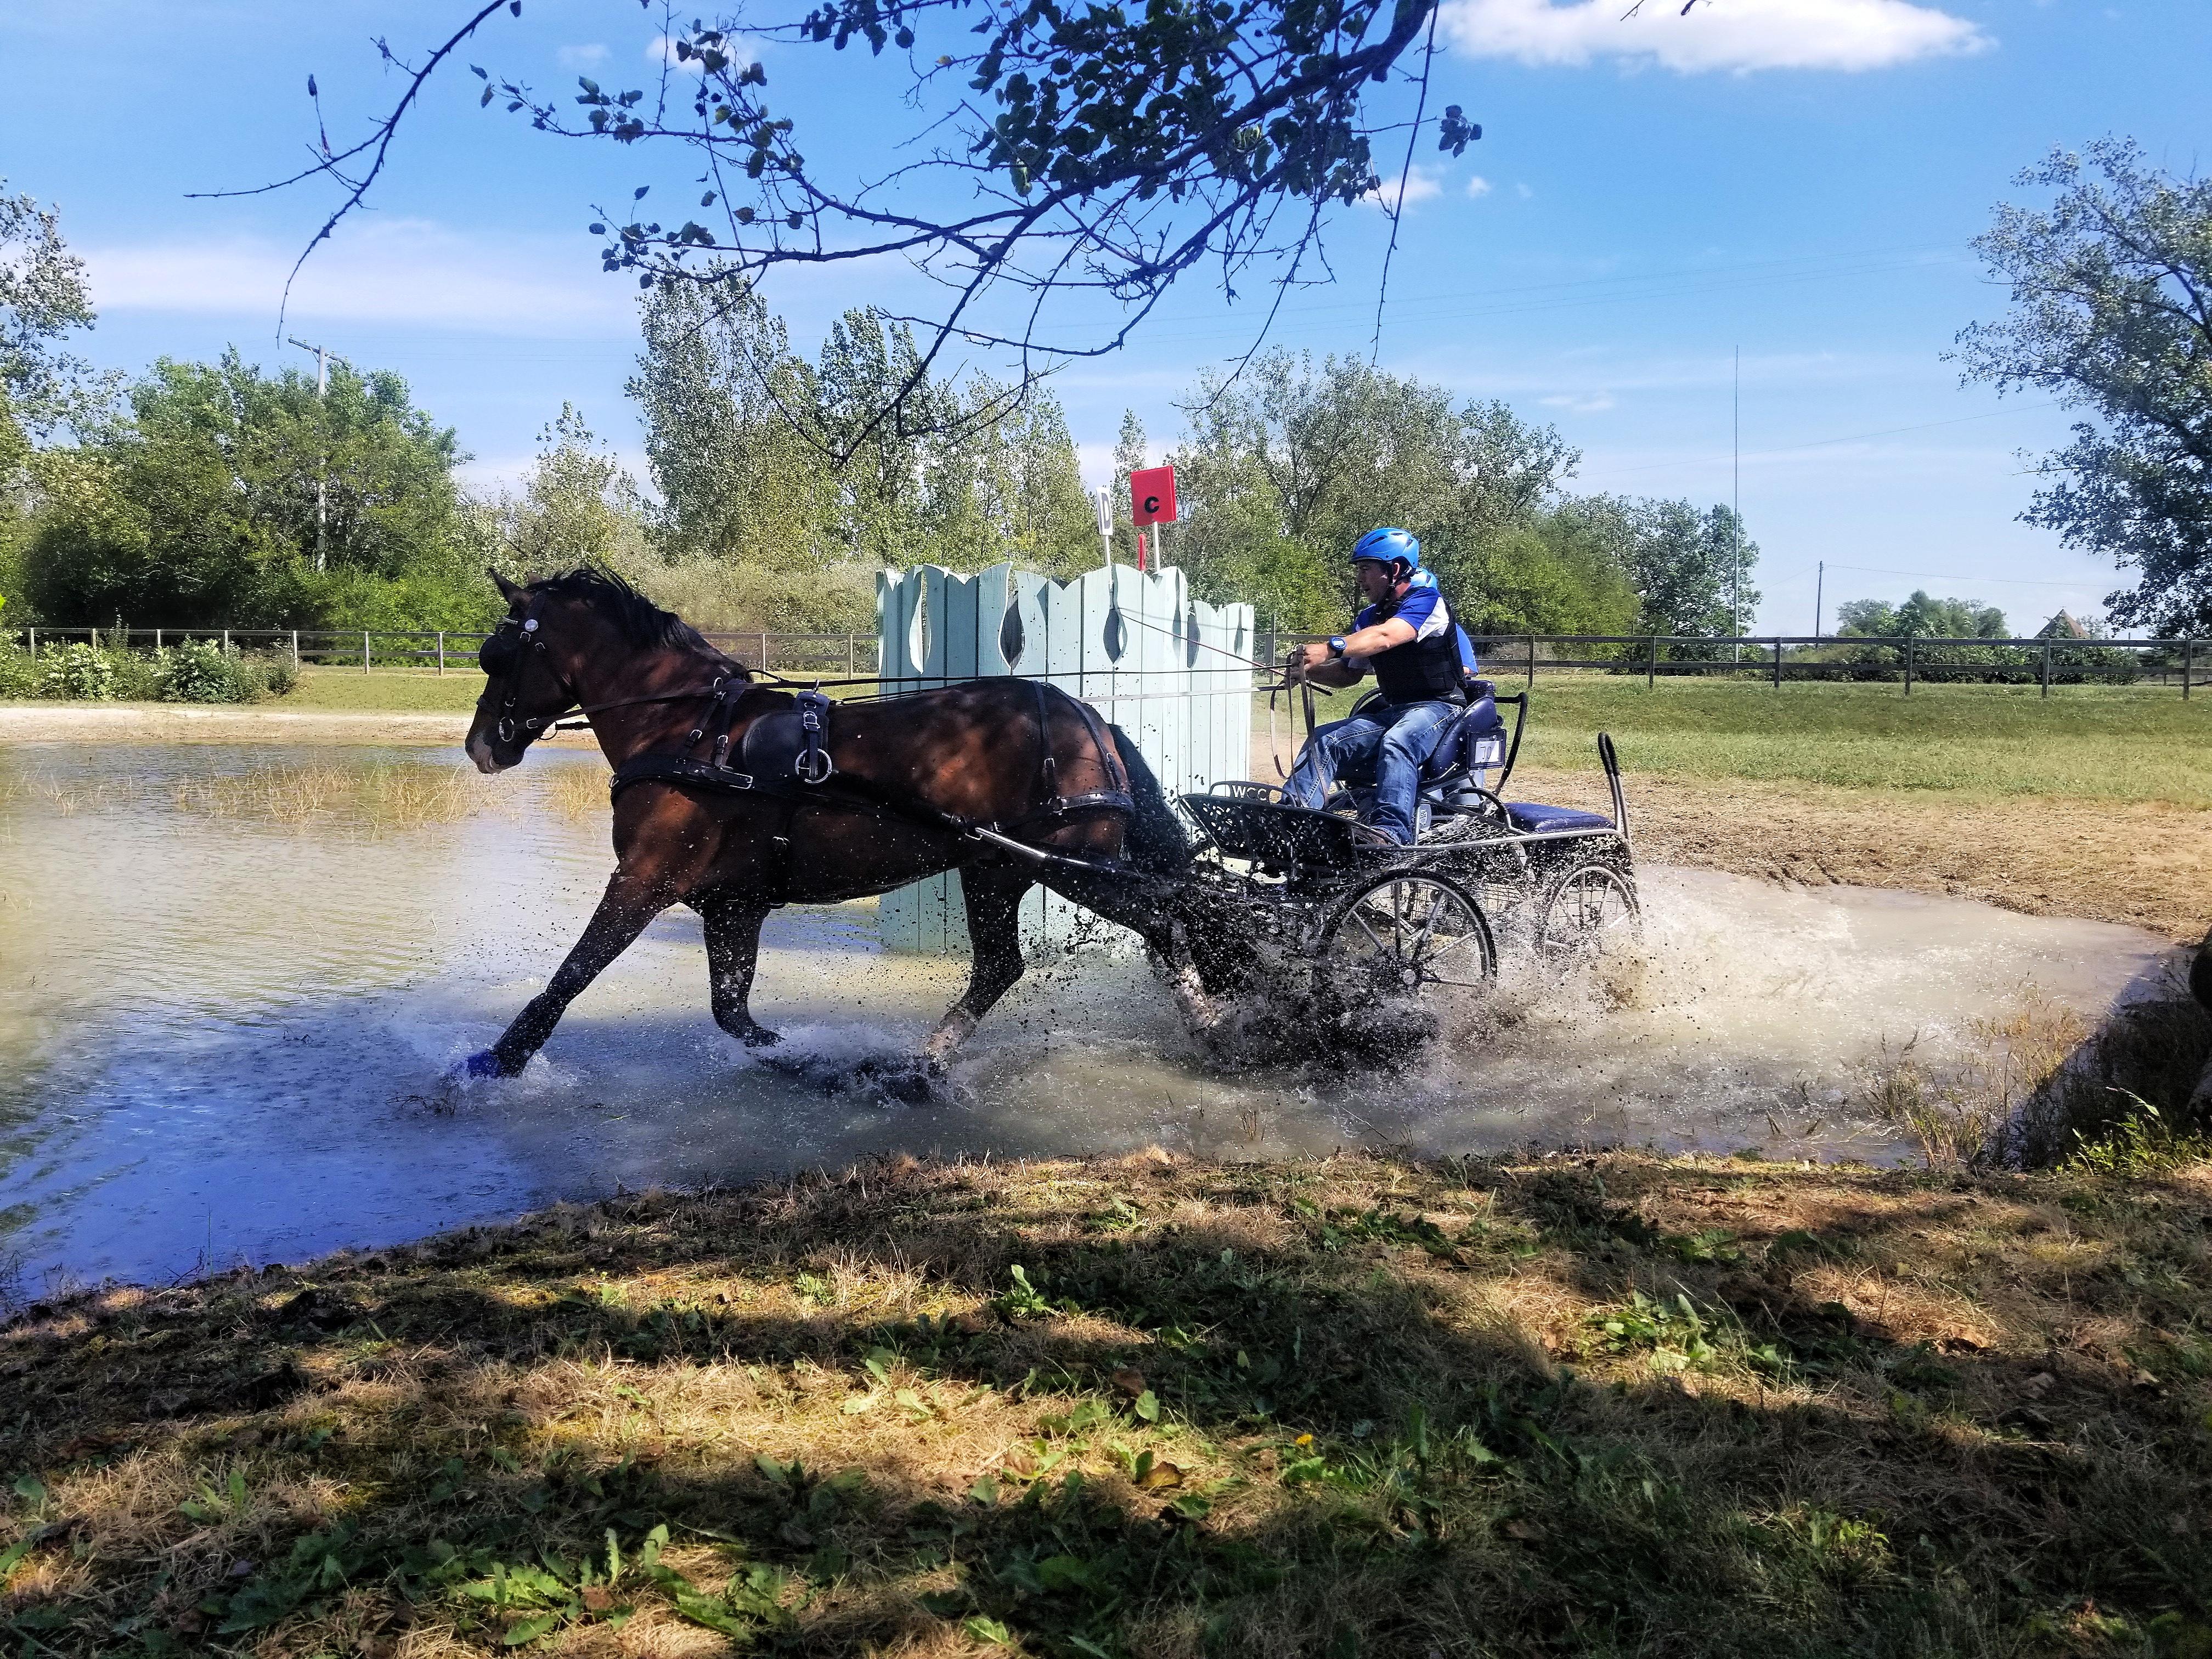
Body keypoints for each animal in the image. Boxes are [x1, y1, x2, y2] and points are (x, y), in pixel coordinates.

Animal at [453, 571, 1212, 1084]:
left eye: (497, 655)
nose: (481, 745)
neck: (688, 728)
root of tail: (1086, 717)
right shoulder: (734, 903)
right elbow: (733, 1012)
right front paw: (810, 1061)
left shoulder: (643, 880)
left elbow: (571, 977)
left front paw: (496, 1062)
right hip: (994, 870)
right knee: (1002, 966)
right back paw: (920, 1064)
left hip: (1070, 869)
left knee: (1163, 923)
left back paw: (1210, 1027)